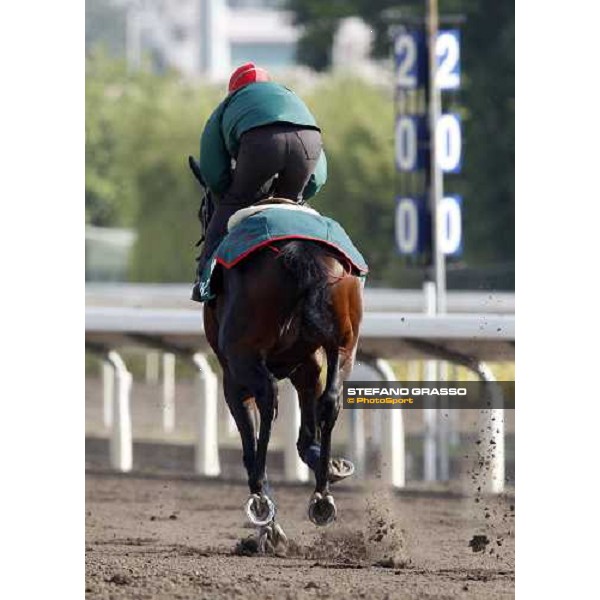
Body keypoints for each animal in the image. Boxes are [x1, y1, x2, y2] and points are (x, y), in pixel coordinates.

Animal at [190, 157, 364, 552]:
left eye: (203, 208)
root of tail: (296, 251)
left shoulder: (233, 376)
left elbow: (250, 437)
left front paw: (268, 524)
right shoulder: (307, 365)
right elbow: (307, 429)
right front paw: (325, 464)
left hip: (243, 358)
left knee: (268, 399)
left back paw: (262, 502)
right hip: (343, 344)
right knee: (331, 401)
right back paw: (322, 497)